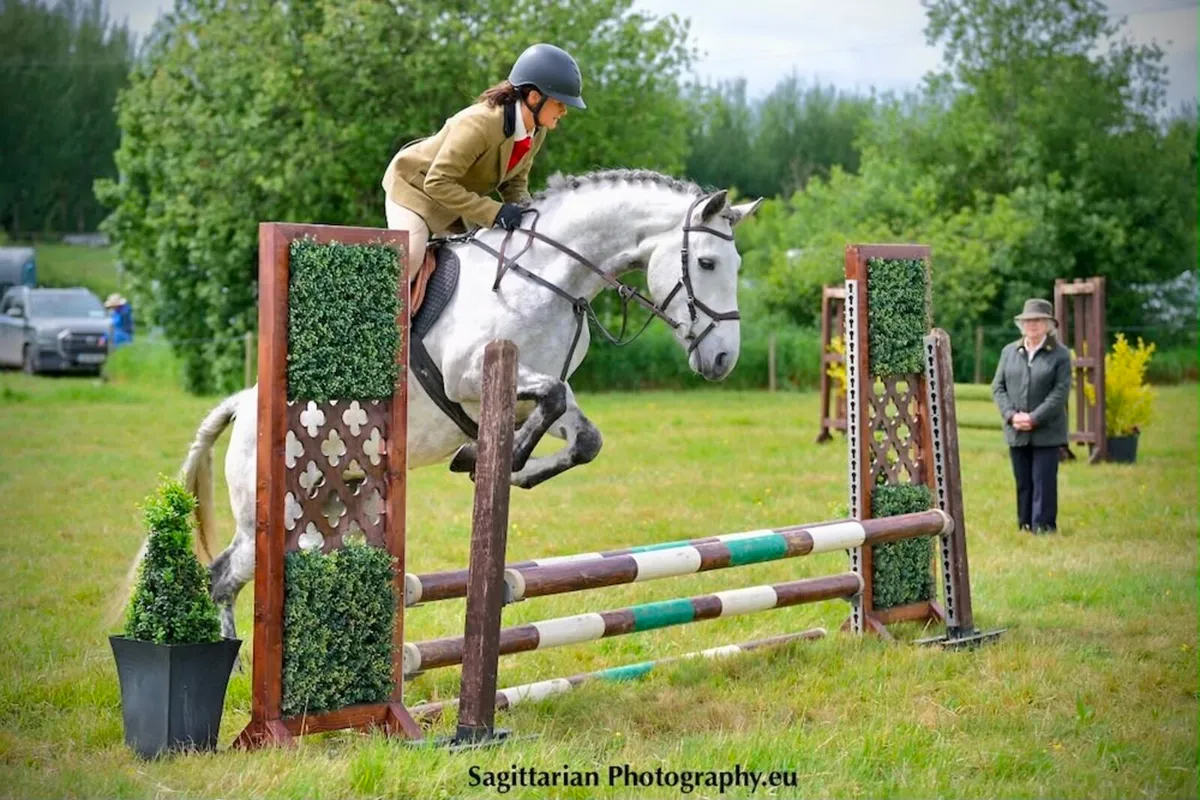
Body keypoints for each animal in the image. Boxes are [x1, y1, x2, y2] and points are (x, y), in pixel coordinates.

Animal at [152, 169, 761, 640]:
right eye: (708, 264)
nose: (724, 359)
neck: (550, 279)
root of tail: (243, 403)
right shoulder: (470, 375)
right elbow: (546, 405)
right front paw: (488, 459)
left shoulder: (539, 397)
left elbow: (582, 435)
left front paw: (499, 465)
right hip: (275, 509)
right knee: (224, 576)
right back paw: (231, 664)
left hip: (337, 495)